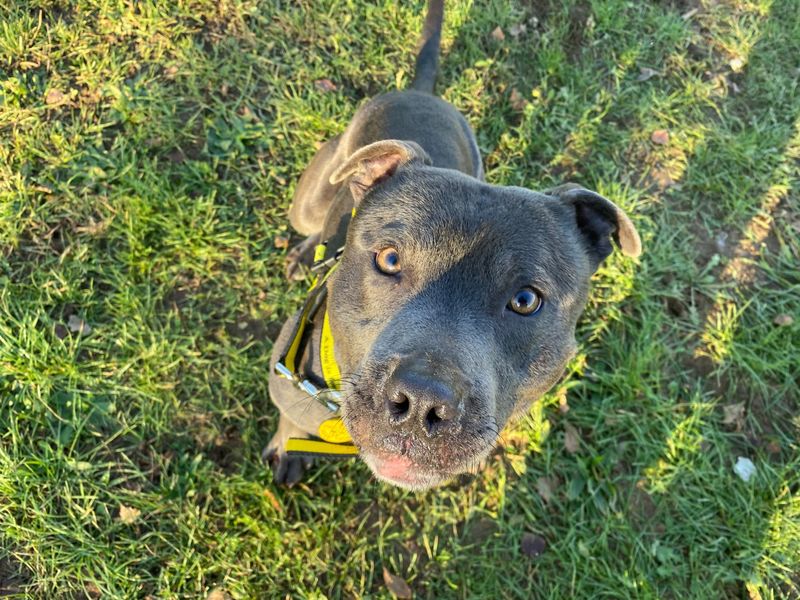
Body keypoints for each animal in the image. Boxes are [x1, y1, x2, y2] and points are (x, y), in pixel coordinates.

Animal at [266, 0, 640, 492]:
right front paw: (286, 449)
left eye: (526, 300)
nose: (422, 401)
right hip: (312, 198)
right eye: (389, 259)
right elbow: (290, 420)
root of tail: (418, 92)